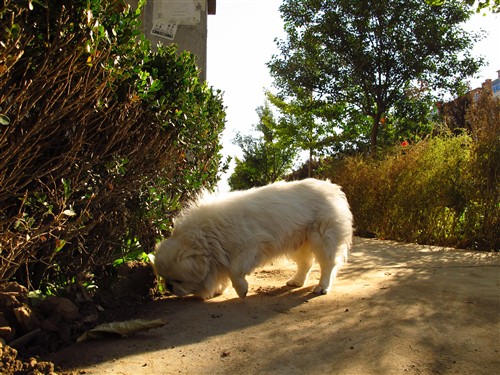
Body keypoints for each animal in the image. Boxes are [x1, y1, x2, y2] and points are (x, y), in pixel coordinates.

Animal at [154, 179, 354, 300]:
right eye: (165, 278)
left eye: (178, 280)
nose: (169, 287)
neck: (207, 235)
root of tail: (332, 188)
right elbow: (225, 272)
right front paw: (220, 288)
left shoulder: (250, 248)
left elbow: (234, 271)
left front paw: (241, 290)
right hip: (298, 242)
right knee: (306, 264)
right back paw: (296, 281)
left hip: (323, 238)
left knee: (327, 265)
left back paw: (322, 287)